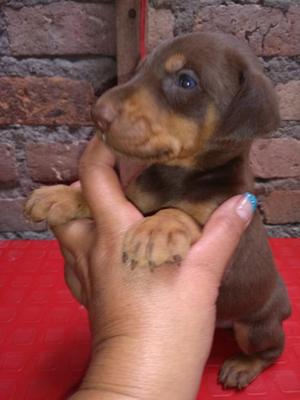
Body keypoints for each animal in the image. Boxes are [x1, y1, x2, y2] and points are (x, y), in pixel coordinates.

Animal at [24, 32, 292, 390]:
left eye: (186, 81)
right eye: (140, 69)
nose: (97, 114)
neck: (176, 175)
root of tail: (284, 303)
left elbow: (181, 214)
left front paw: (156, 230)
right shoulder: (133, 197)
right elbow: (110, 195)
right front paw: (60, 195)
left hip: (255, 327)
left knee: (272, 350)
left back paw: (243, 366)